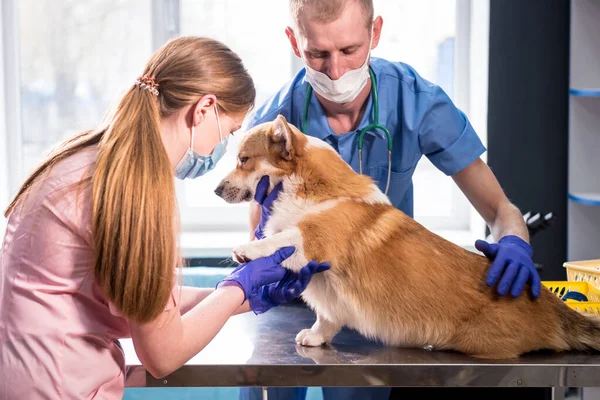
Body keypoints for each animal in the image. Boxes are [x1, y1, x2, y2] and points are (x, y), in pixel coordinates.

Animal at [214, 114, 600, 358]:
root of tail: (553, 305)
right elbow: (326, 318)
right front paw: (315, 337)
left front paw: (246, 251)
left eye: (243, 159)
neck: (308, 186)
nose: (216, 190)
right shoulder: (328, 297)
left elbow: (281, 240)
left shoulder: (314, 240)